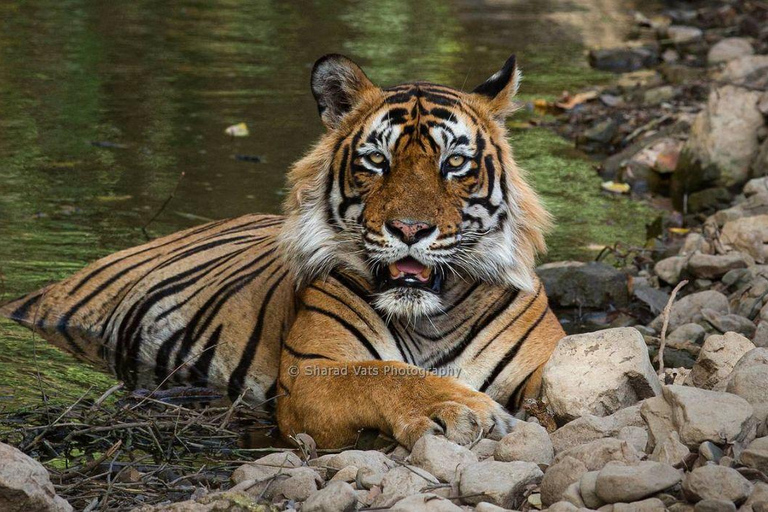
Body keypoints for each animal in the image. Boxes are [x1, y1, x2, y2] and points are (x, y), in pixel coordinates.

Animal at [0, 53, 564, 448]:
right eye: (377, 160)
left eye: (454, 163)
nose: (410, 229)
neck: (430, 319)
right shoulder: (312, 373)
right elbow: (385, 377)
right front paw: (459, 408)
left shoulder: (543, 362)